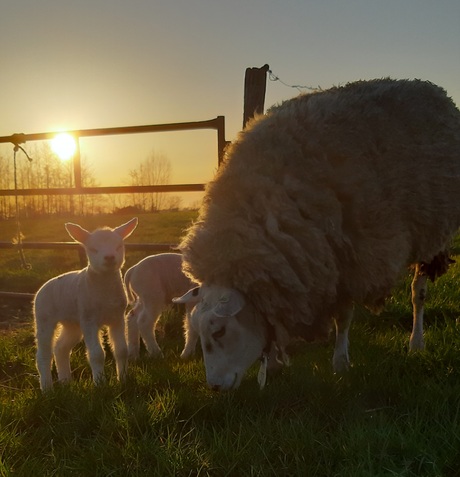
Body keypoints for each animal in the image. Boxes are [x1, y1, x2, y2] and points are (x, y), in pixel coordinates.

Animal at [33, 218, 137, 390]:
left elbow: (122, 350)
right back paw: (47, 389)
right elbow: (97, 354)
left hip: (72, 323)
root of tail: (42, 287)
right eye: (93, 249)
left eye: (119, 246)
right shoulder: (89, 319)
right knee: (43, 355)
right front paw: (100, 384)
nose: (109, 257)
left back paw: (65, 382)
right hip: (43, 317)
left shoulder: (117, 317)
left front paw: (123, 380)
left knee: (61, 348)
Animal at [174, 78, 460, 390]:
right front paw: (274, 364)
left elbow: (343, 317)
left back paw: (416, 342)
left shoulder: (349, 258)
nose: (214, 387)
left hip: (431, 228)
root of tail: (431, 88)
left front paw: (340, 363)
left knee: (418, 293)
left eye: (220, 331)